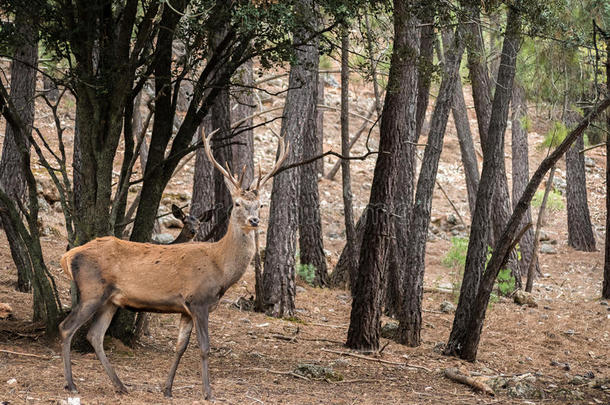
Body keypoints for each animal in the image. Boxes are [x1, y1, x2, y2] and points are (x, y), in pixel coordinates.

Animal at [59, 132, 288, 398]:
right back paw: (71, 384)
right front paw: (208, 393)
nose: (254, 220)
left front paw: (167, 389)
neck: (220, 268)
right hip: (92, 290)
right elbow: (204, 347)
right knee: (67, 327)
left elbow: (180, 347)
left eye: (260, 205)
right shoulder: (199, 300)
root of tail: (69, 255)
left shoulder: (185, 309)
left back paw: (120, 385)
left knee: (94, 335)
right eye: (238, 203)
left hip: (110, 299)